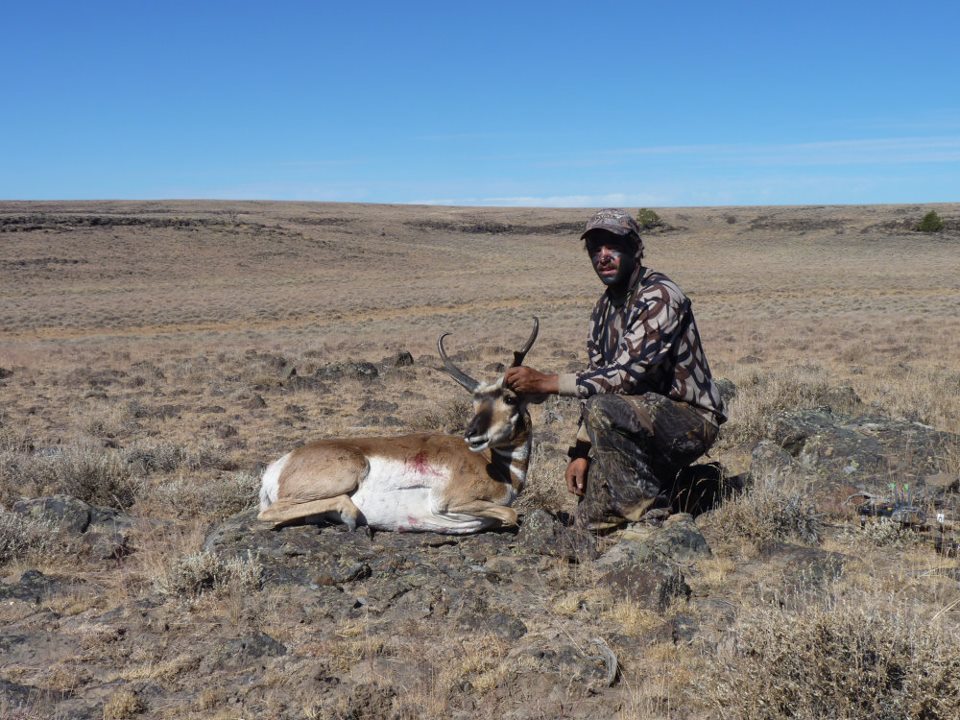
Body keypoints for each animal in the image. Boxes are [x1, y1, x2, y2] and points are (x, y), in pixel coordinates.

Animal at [256, 320, 540, 536]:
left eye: (510, 399)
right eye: (475, 402)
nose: (473, 435)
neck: (496, 466)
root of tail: (279, 466)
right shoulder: (450, 502)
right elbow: (511, 513)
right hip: (349, 472)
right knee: (268, 512)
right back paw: (349, 517)